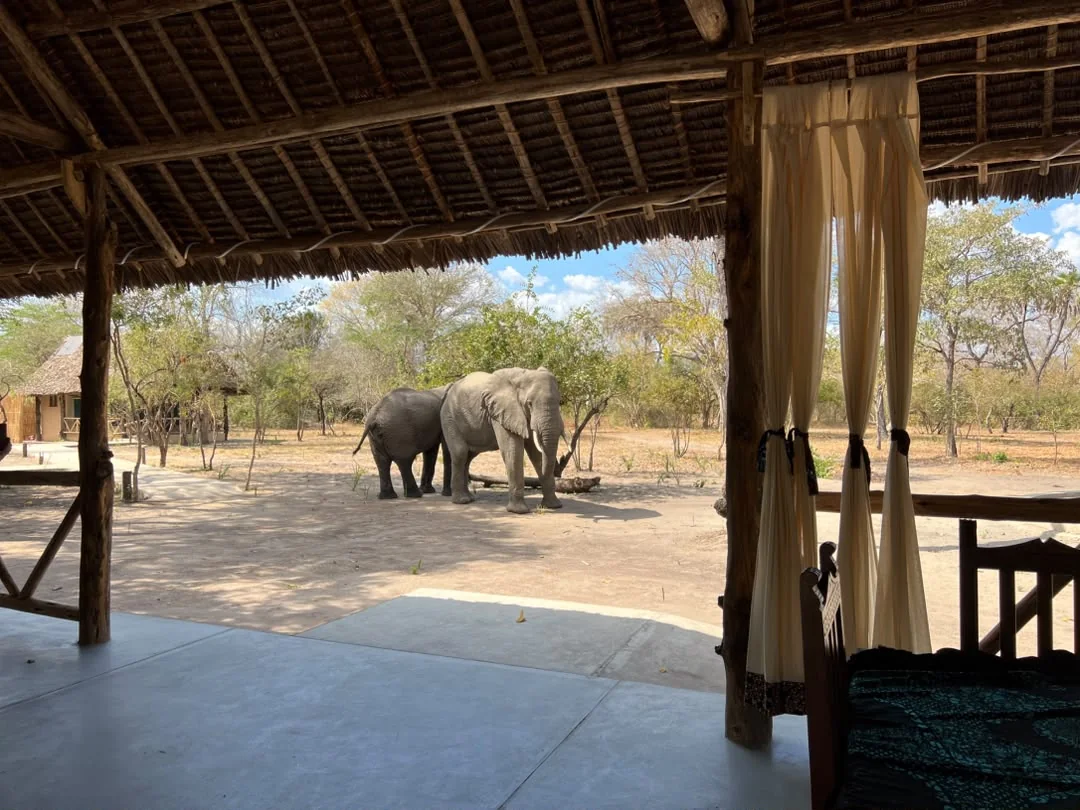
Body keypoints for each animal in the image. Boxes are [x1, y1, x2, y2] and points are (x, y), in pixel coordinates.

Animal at [440, 367, 564, 514]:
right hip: (449, 418)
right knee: (460, 453)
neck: (522, 375)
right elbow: (513, 451)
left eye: (560, 402)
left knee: (469, 456)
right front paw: (518, 511)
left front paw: (553, 506)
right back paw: (462, 501)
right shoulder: (501, 411)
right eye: (529, 403)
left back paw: (470, 498)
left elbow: (536, 453)